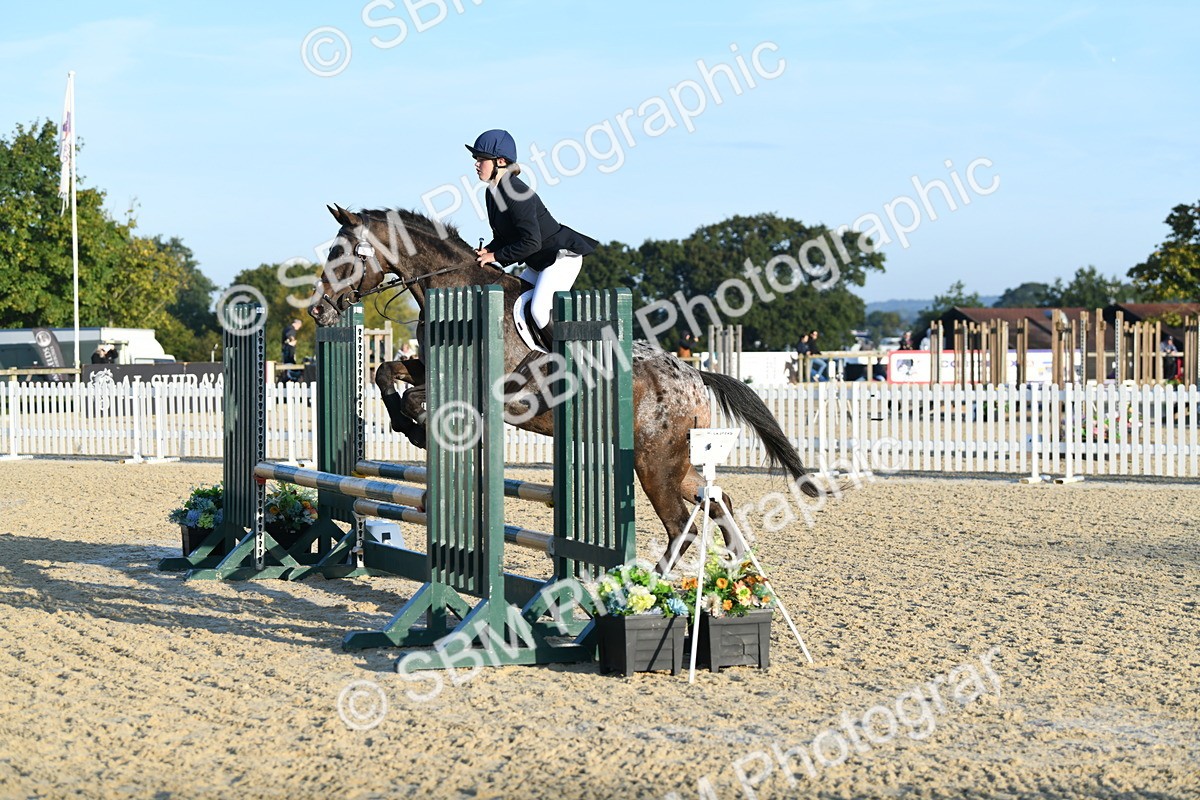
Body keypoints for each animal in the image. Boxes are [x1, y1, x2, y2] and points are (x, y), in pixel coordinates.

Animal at [308, 205, 820, 571]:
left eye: (345, 256)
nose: (318, 310)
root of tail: (695, 375)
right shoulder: (426, 366)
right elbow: (384, 372)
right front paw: (402, 423)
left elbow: (418, 399)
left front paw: (412, 427)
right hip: (677, 461)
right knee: (716, 501)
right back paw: (738, 571)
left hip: (656, 463)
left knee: (682, 526)